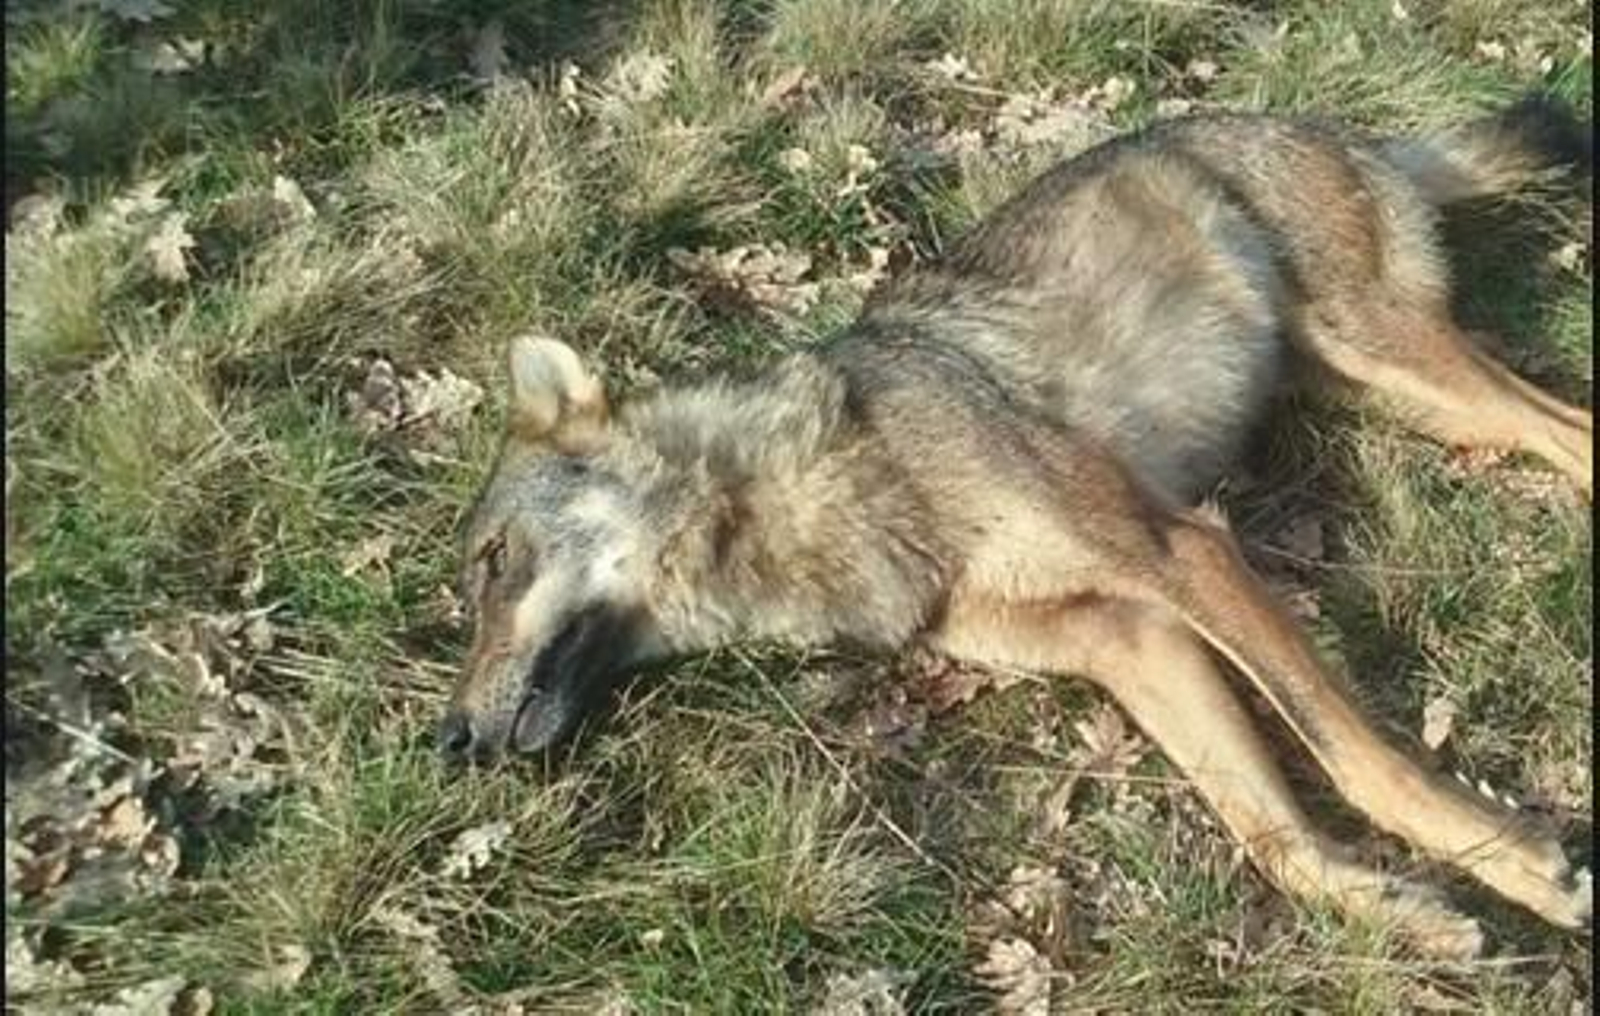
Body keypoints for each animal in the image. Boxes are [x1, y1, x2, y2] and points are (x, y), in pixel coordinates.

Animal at [440, 96, 1593, 957]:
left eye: (494, 563)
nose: (447, 742)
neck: (811, 494)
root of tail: (1339, 126)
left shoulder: (1183, 553)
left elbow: (1351, 753)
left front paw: (1511, 863)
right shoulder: (1132, 639)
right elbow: (1270, 834)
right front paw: (1404, 914)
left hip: (1395, 363)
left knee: (1567, 432)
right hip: (1391, 396)